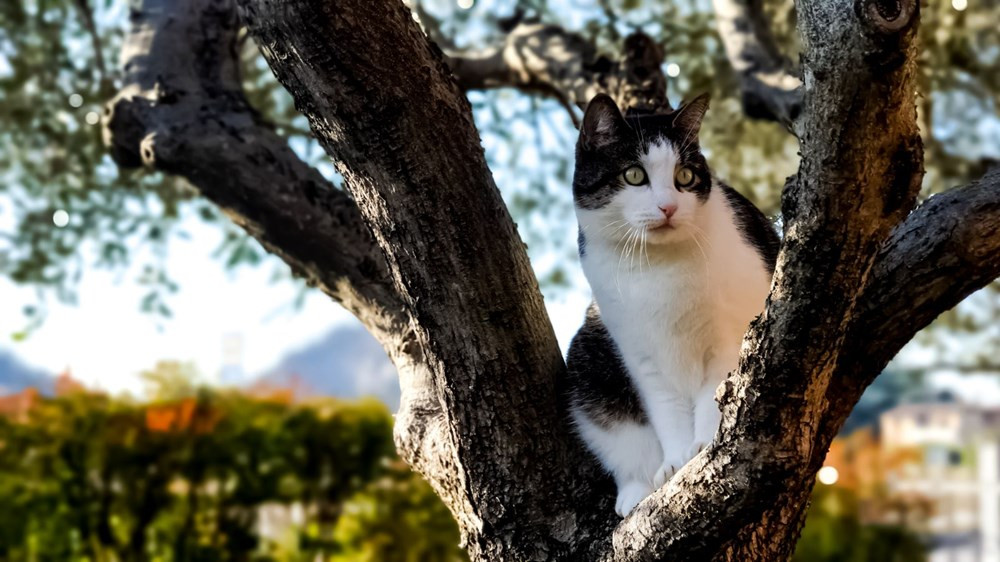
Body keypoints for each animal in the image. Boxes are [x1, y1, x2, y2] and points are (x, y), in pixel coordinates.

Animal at [568, 93, 776, 516]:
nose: (668, 207)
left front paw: (705, 444)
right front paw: (678, 459)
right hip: (586, 356)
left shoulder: (731, 335)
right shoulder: (640, 356)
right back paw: (637, 490)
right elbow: (664, 410)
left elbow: (716, 393)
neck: (658, 267)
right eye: (634, 175)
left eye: (685, 177)